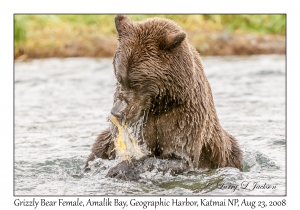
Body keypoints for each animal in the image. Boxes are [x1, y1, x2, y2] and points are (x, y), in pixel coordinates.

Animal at [84, 14, 241, 180]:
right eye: (120, 77)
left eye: (136, 82)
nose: (117, 112)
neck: (160, 103)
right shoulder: (143, 120)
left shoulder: (184, 116)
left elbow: (178, 156)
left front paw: (119, 169)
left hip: (226, 152)